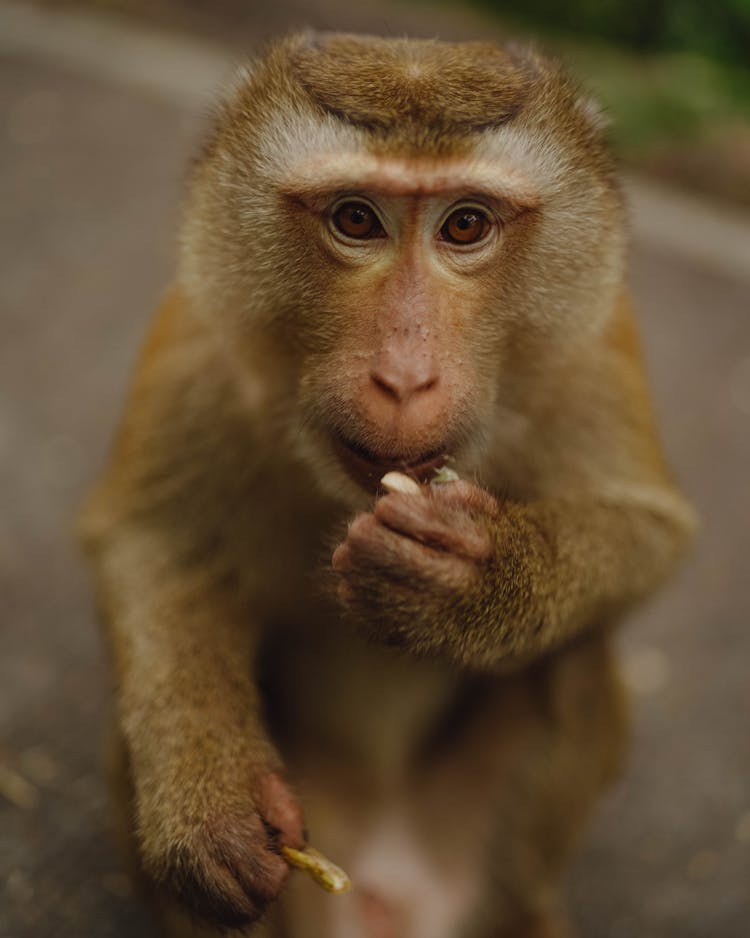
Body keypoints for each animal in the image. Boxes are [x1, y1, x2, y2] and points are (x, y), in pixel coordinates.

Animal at [79, 29, 696, 936]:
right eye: (355, 220)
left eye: (466, 224)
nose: (404, 379)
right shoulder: (203, 328)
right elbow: (155, 542)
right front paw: (209, 811)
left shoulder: (594, 337)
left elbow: (647, 530)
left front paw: (466, 586)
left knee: (576, 655)